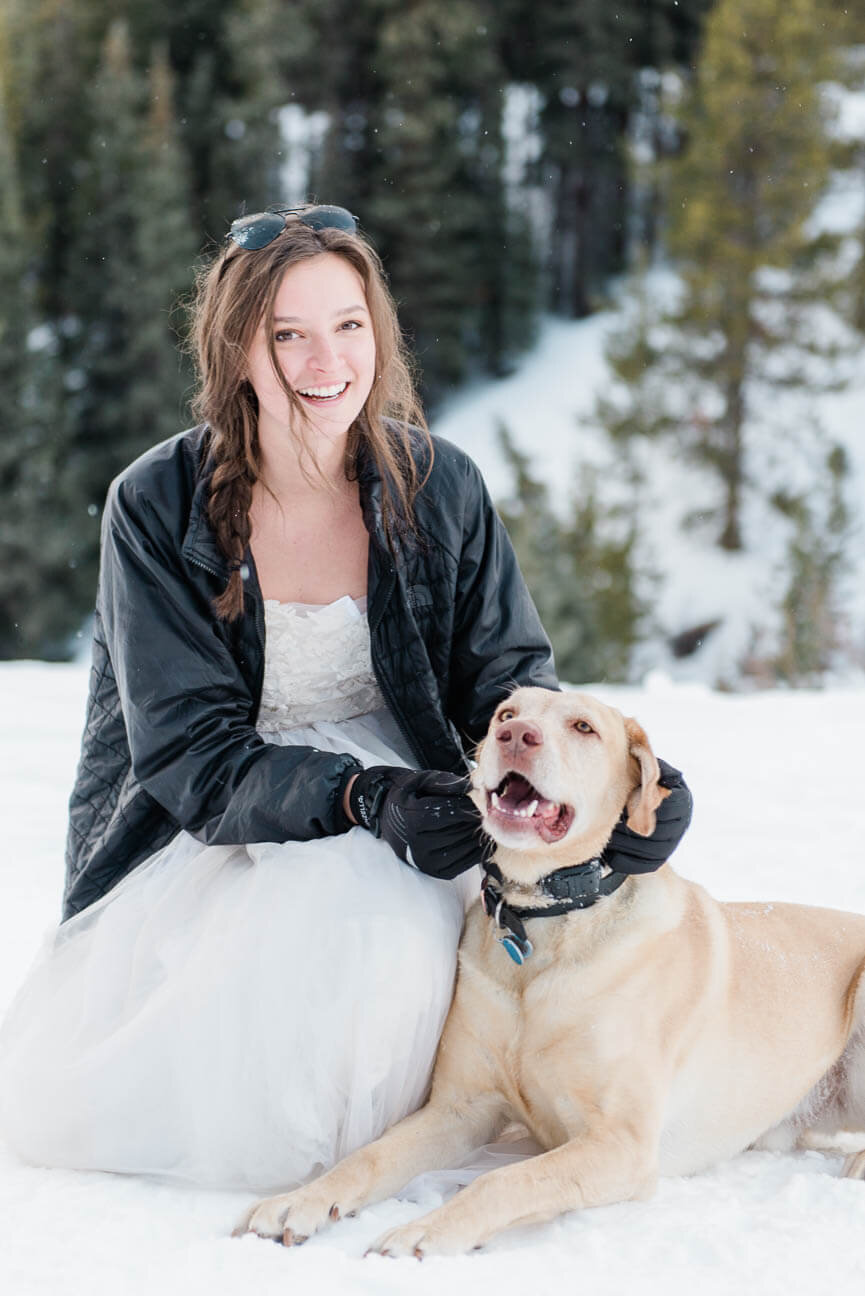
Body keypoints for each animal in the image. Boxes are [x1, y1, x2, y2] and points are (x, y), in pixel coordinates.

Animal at [234, 689, 865, 1254]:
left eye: (583, 727)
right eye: (506, 714)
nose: (516, 736)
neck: (541, 918)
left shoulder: (620, 1142)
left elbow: (508, 1179)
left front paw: (426, 1231)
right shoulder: (461, 1108)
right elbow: (371, 1154)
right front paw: (301, 1200)